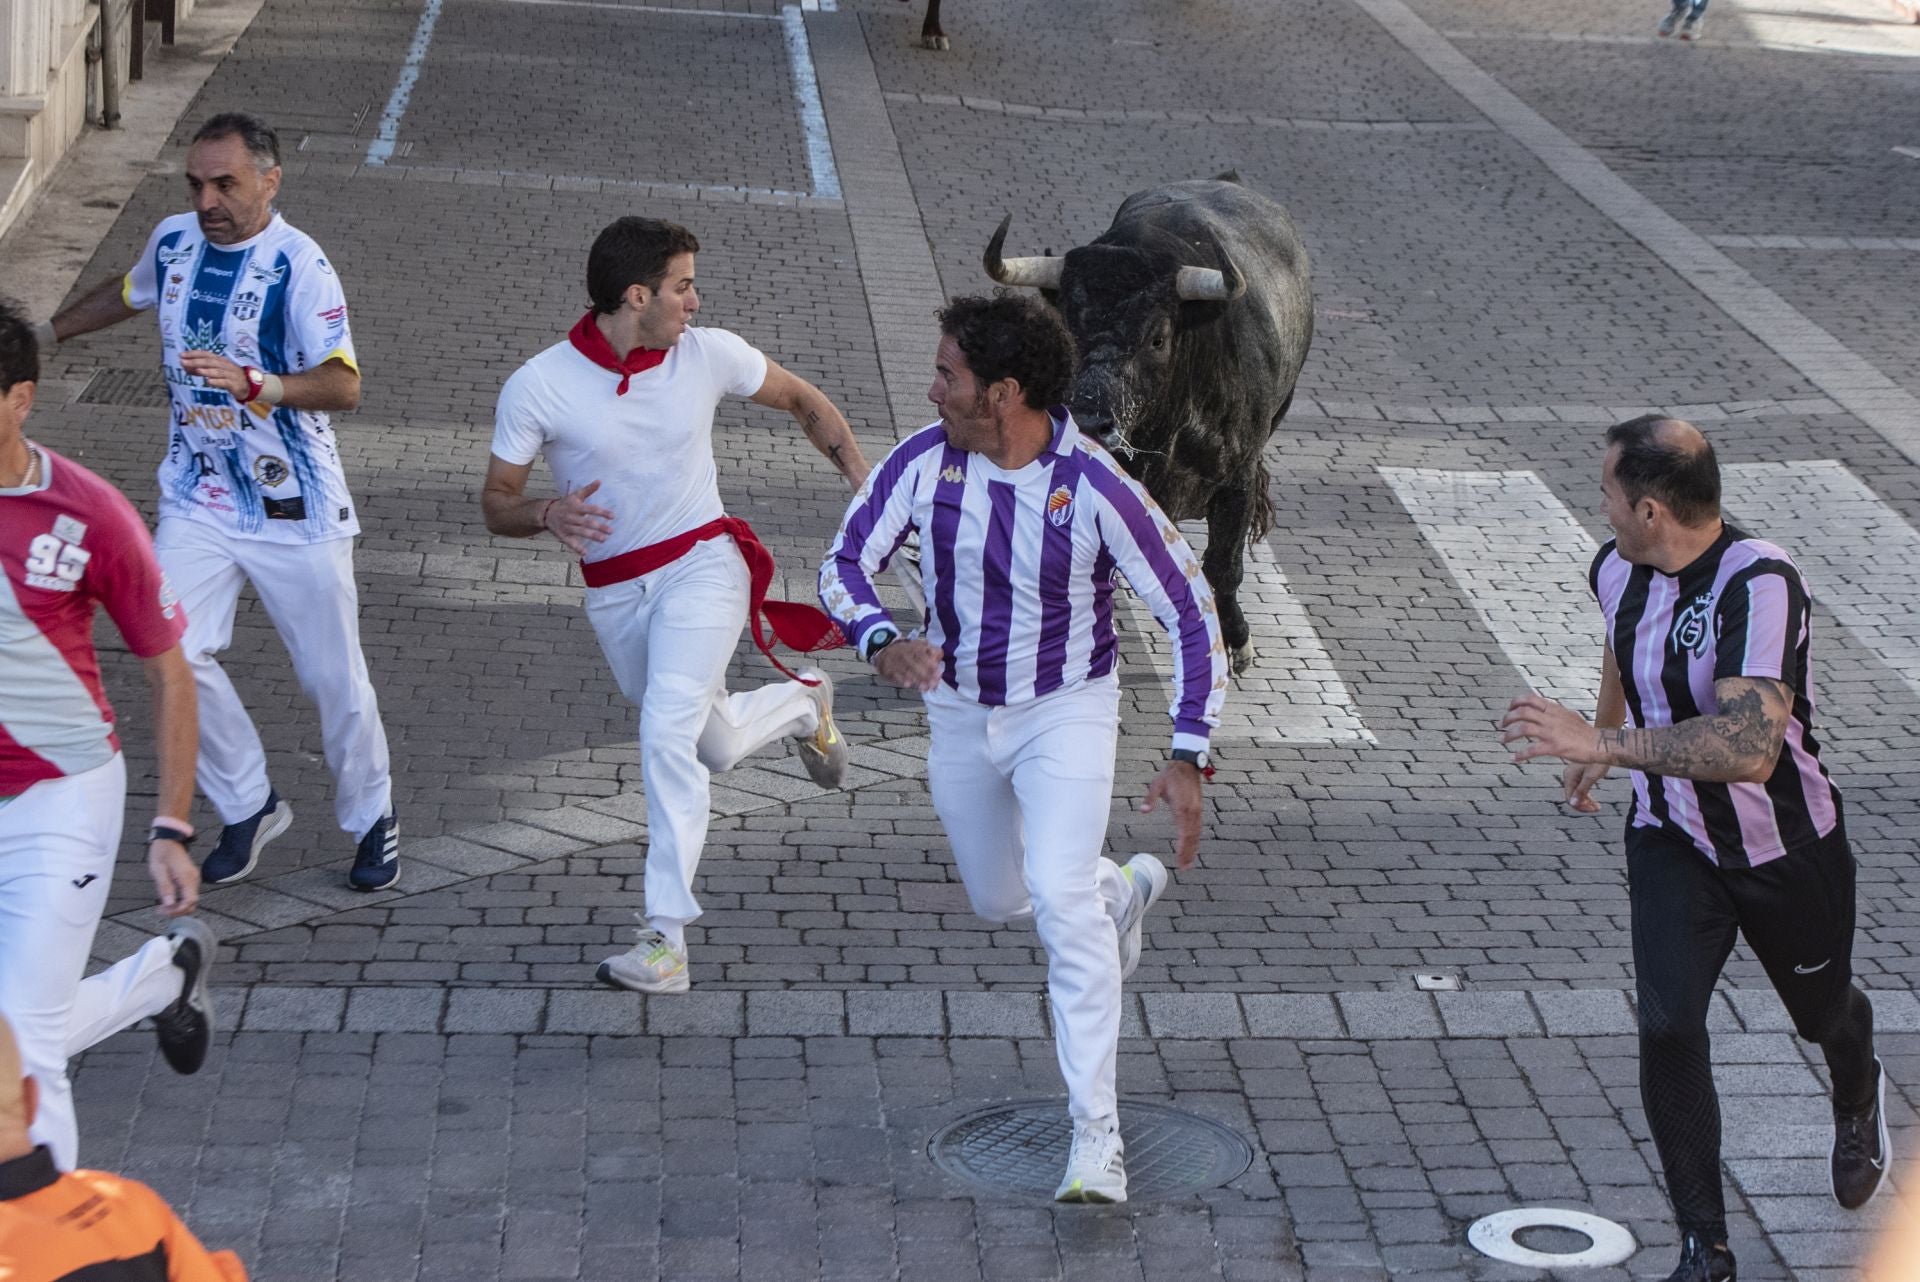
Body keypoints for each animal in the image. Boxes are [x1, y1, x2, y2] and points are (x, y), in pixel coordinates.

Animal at [983, 179, 1313, 675]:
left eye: (1157, 338)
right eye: (1068, 328)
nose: (1089, 421)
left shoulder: (1238, 479)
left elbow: (1224, 565)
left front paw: (1236, 641)